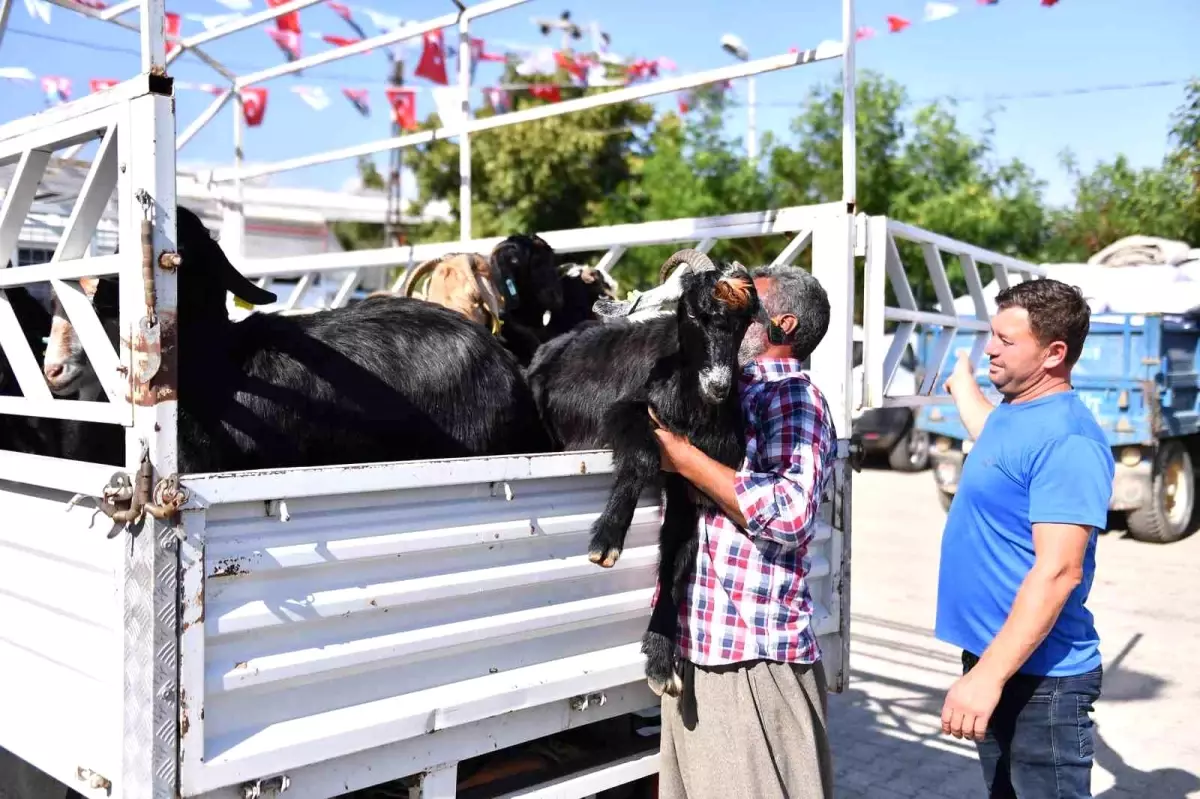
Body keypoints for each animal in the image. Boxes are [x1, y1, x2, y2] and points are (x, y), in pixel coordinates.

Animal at [523, 247, 758, 691]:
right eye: (694, 312)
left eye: (745, 323)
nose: (719, 386)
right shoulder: (623, 415)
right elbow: (644, 456)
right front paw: (607, 541)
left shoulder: (690, 480)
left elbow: (678, 556)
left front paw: (661, 660)